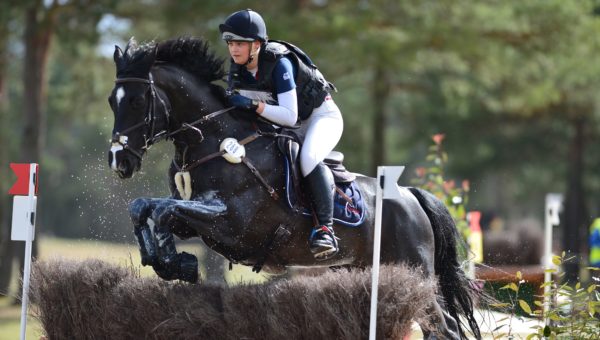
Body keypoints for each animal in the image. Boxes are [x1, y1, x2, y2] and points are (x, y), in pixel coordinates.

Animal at [108, 37, 480, 340]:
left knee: (444, 327)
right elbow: (145, 207)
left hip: (417, 274)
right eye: (113, 100)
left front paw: (175, 263)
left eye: (138, 101)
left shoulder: (233, 225)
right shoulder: (196, 219)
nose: (118, 161)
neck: (213, 141)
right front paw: (163, 260)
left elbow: (163, 211)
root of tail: (411, 197)